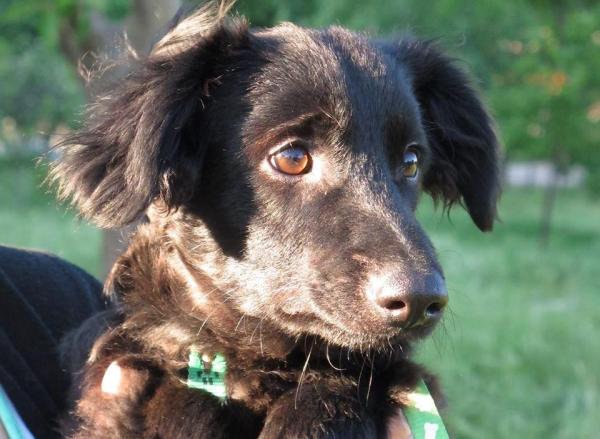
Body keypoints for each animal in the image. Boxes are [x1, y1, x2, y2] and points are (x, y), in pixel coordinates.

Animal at [52, 1, 499, 437]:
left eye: (410, 163)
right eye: (292, 156)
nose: (422, 300)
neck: (260, 361)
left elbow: (335, 388)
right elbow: (184, 398)